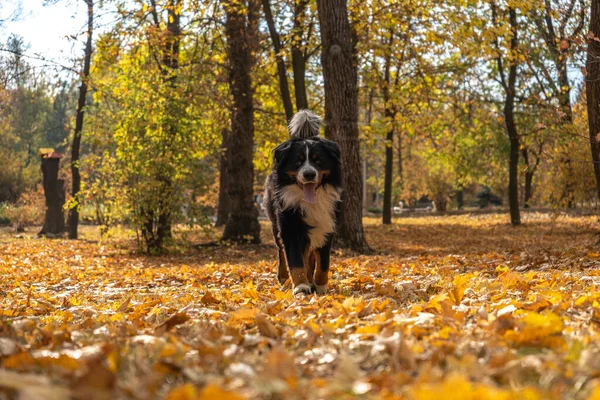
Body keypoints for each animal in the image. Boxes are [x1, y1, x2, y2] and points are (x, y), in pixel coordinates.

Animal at [264, 109, 342, 294]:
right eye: (297, 161)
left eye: (318, 160)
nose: (309, 174)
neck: (310, 202)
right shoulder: (291, 227)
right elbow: (295, 261)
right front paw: (300, 286)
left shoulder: (327, 227)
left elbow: (323, 264)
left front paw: (320, 287)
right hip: (276, 224)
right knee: (282, 252)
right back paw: (285, 279)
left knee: (310, 255)